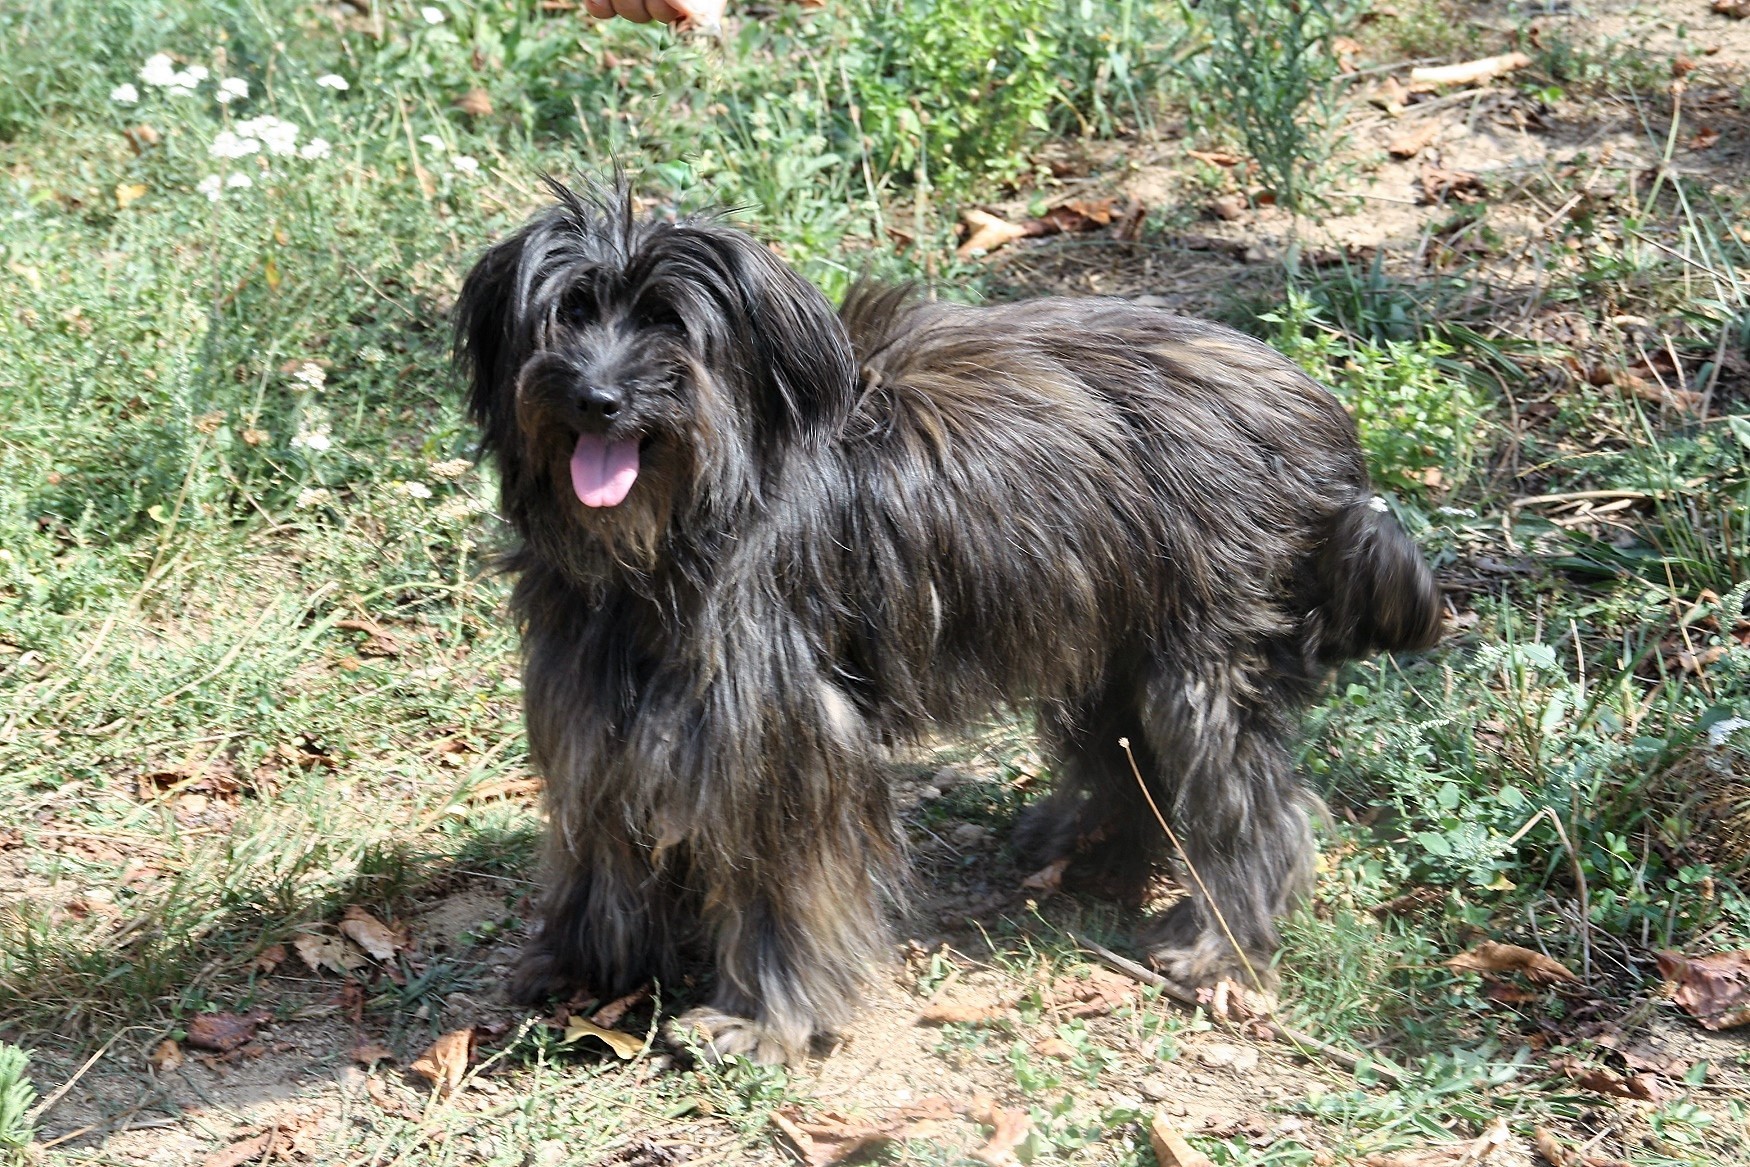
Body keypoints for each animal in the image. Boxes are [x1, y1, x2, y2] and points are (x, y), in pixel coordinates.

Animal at [458, 178, 1442, 1063]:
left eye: (668, 322)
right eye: (568, 313)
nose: (597, 398)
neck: (671, 542)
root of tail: (1323, 421)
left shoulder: (786, 736)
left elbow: (785, 884)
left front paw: (759, 1020)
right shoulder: (597, 702)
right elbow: (600, 838)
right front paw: (584, 963)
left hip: (1201, 654)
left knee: (1253, 805)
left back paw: (1217, 943)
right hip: (1105, 626)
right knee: (1128, 757)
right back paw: (1083, 846)